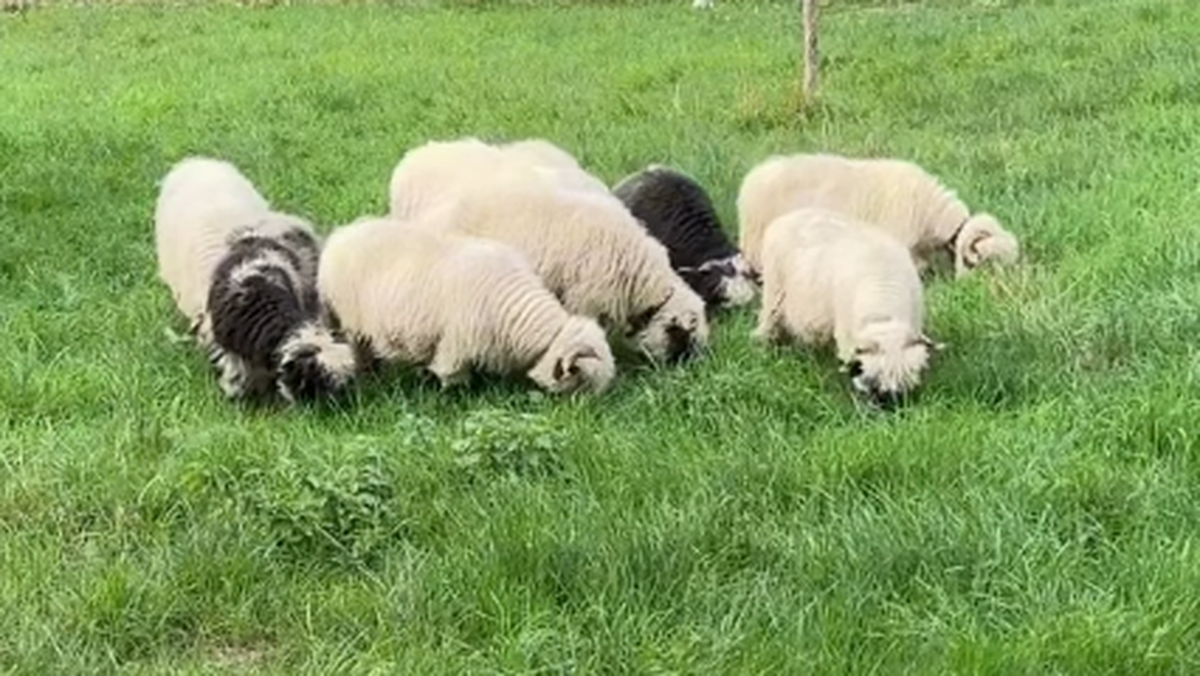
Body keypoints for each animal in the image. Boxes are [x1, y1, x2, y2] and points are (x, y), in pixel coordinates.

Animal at [317, 216, 615, 394]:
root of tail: (341, 234)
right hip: (347, 319)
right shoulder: (456, 344)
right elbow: (453, 377)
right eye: (579, 381)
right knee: (358, 349)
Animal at [753, 207, 943, 407]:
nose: (890, 408)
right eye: (872, 382)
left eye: (904, 384)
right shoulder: (847, 336)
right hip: (773, 295)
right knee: (769, 326)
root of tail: (790, 215)